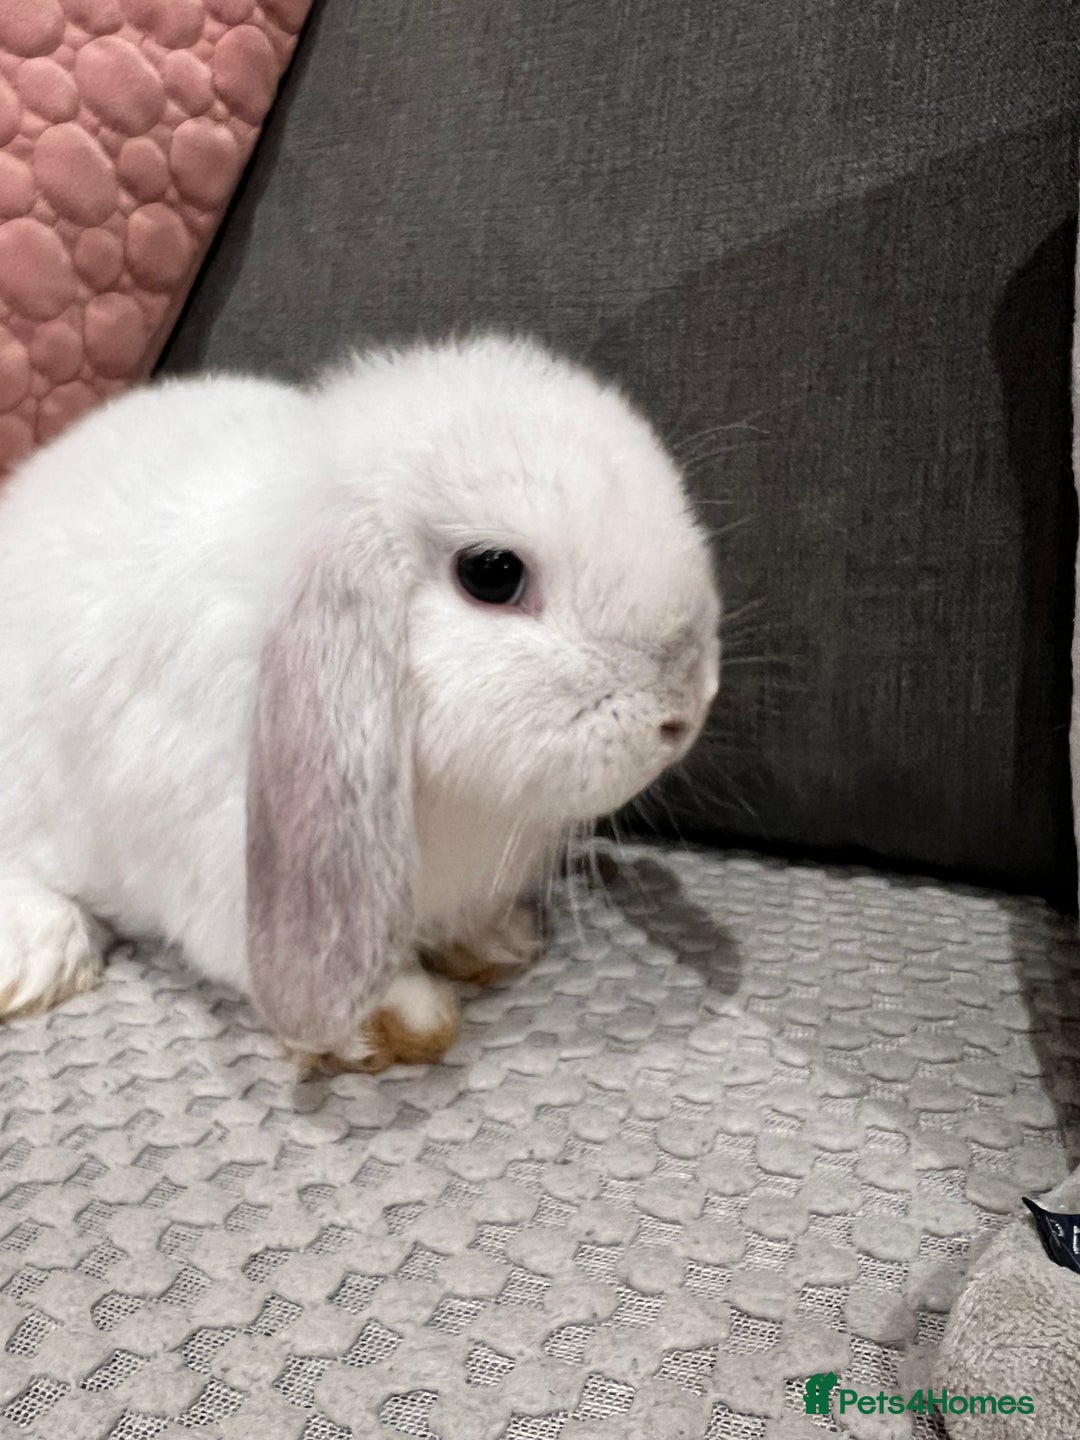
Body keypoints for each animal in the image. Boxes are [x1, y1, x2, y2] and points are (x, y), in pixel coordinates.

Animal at [0, 334, 721, 1072]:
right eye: (492, 574)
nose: (686, 711)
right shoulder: (232, 867)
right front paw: (404, 1020)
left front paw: (499, 942)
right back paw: (37, 959)